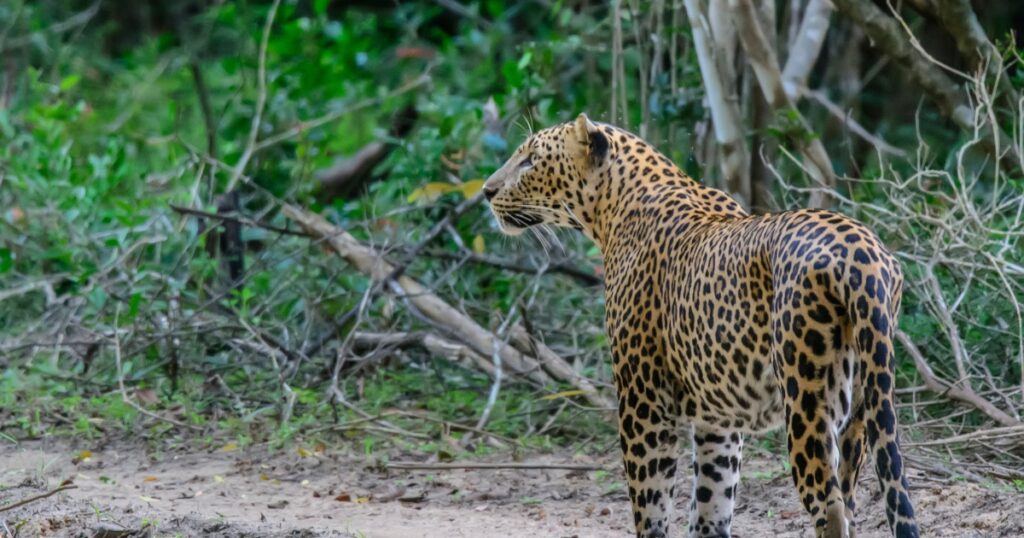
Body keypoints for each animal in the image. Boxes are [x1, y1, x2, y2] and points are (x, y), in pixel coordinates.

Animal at [479, 115, 921, 536]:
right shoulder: (717, 417)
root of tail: (862, 253)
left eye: (531, 160)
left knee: (830, 509)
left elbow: (650, 505)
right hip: (864, 403)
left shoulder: (643, 400)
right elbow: (711, 501)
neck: (612, 209)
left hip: (807, 395)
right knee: (850, 497)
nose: (486, 191)